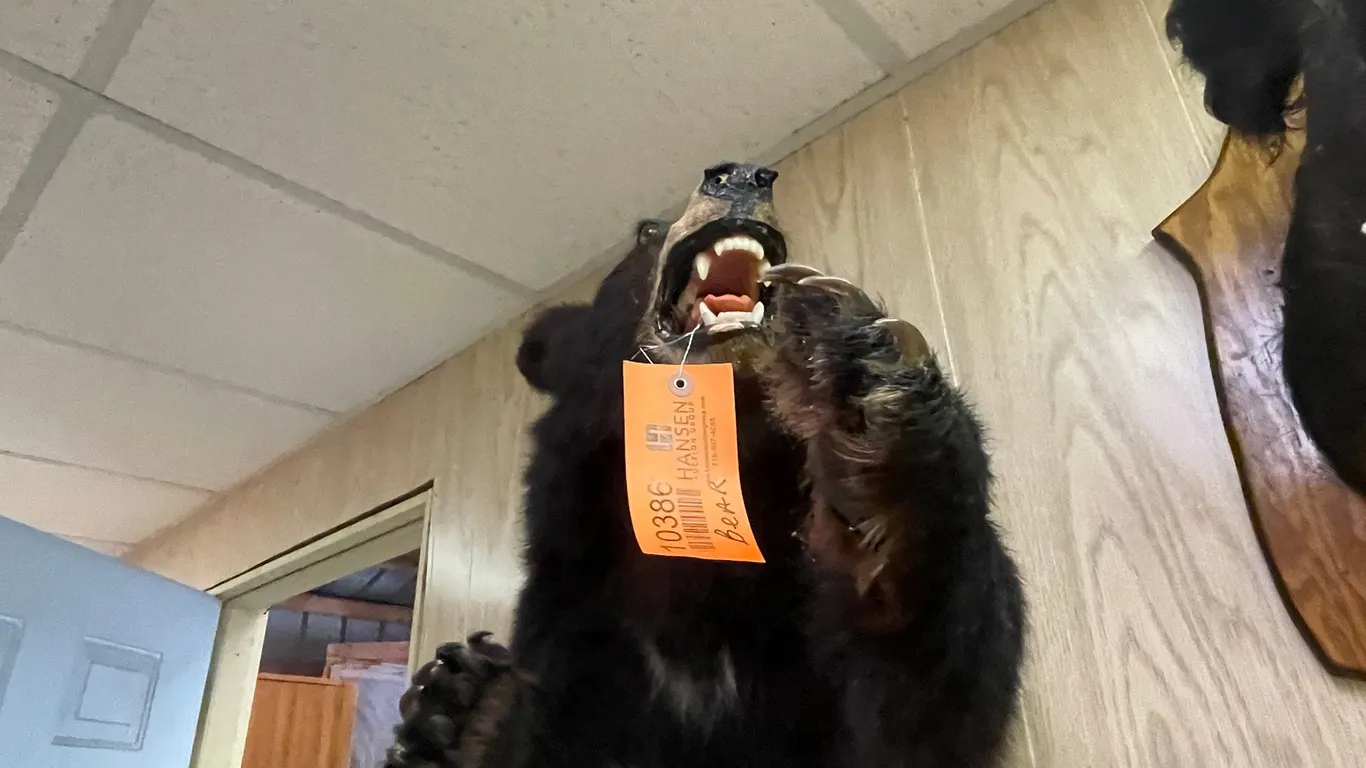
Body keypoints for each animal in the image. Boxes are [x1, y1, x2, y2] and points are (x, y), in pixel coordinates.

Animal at [385, 162, 1026, 767]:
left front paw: (865, 391)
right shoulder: (580, 616)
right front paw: (464, 715)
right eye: (646, 232)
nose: (743, 174)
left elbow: (919, 714)